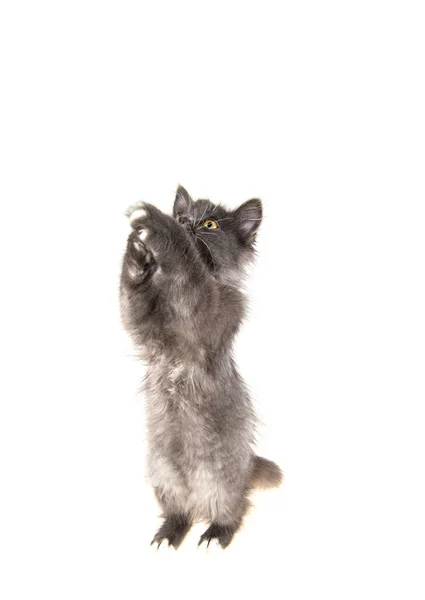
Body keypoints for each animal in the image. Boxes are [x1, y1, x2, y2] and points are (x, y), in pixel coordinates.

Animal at [120, 185, 282, 548]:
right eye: (183, 215)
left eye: (209, 224)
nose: (185, 222)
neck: (171, 288)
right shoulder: (145, 328)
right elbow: (130, 295)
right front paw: (137, 252)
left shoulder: (210, 309)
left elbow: (190, 266)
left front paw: (157, 225)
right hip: (163, 477)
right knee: (180, 513)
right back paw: (167, 535)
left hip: (218, 481)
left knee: (234, 509)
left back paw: (214, 536)